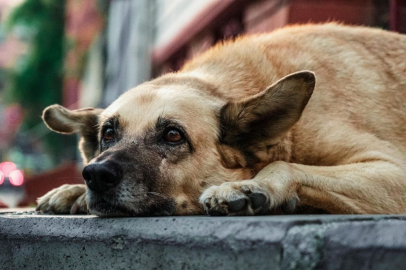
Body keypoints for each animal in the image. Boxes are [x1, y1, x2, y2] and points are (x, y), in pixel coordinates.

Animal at [35, 23, 406, 217]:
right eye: (109, 133)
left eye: (173, 135)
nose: (95, 175)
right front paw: (73, 191)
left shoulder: (393, 170)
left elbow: (285, 166)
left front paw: (250, 186)